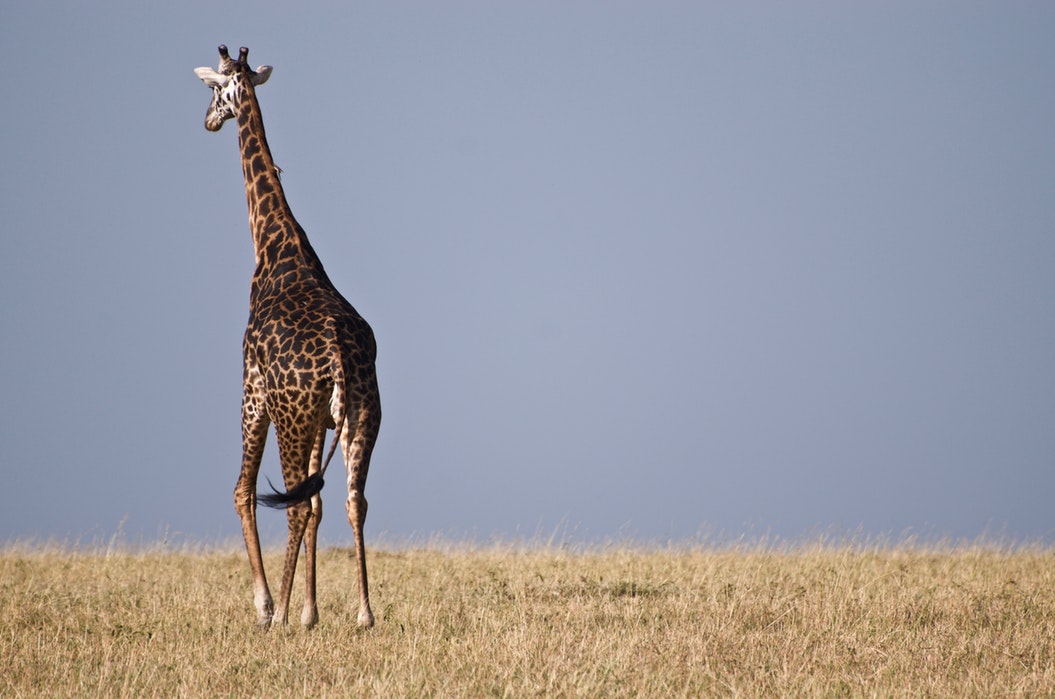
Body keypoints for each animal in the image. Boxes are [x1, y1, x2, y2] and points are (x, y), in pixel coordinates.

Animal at [196, 46, 381, 632]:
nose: (208, 121)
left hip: (289, 415)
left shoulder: (252, 388)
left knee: (292, 501)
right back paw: (365, 613)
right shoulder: (325, 417)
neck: (276, 244)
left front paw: (269, 607)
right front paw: (310, 611)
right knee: (350, 500)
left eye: (214, 91)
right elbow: (322, 505)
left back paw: (276, 614)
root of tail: (341, 358)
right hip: (361, 416)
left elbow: (242, 492)